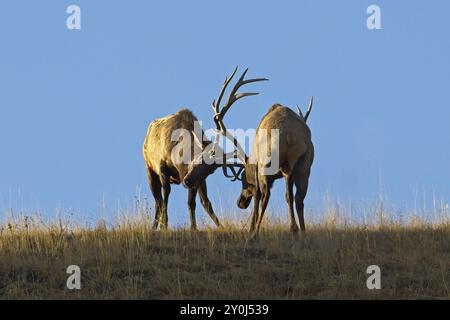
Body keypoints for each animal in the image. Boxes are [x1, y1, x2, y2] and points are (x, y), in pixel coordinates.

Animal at [183, 67, 312, 238]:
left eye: (243, 180)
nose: (240, 202)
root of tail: (290, 135)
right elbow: (286, 196)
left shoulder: (258, 170)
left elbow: (258, 196)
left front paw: (251, 228)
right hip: (305, 165)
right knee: (298, 197)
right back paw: (300, 230)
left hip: (269, 162)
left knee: (267, 196)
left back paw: (257, 233)